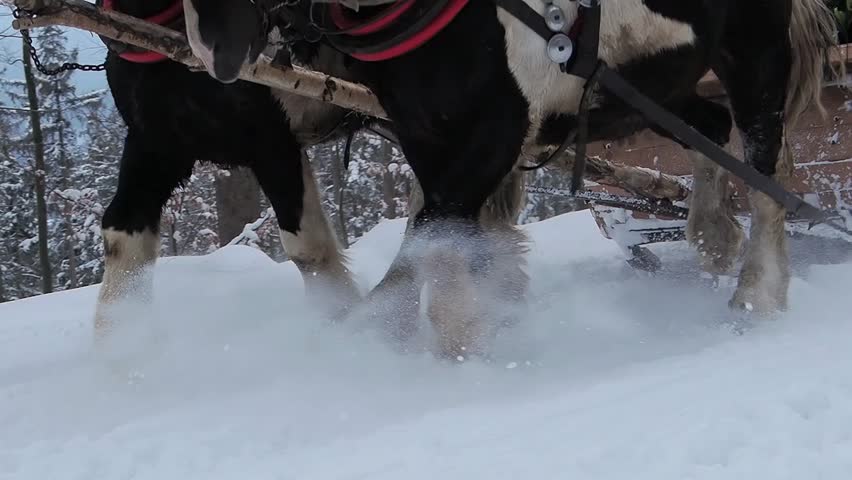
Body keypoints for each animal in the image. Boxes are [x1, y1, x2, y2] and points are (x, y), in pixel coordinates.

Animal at [184, 0, 839, 358]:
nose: (212, 50)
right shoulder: (425, 134)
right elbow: (439, 234)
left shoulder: (497, 130)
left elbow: (434, 236)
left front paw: (458, 342)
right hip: (654, 85)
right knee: (712, 126)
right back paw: (712, 234)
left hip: (751, 50)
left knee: (764, 165)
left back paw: (757, 293)